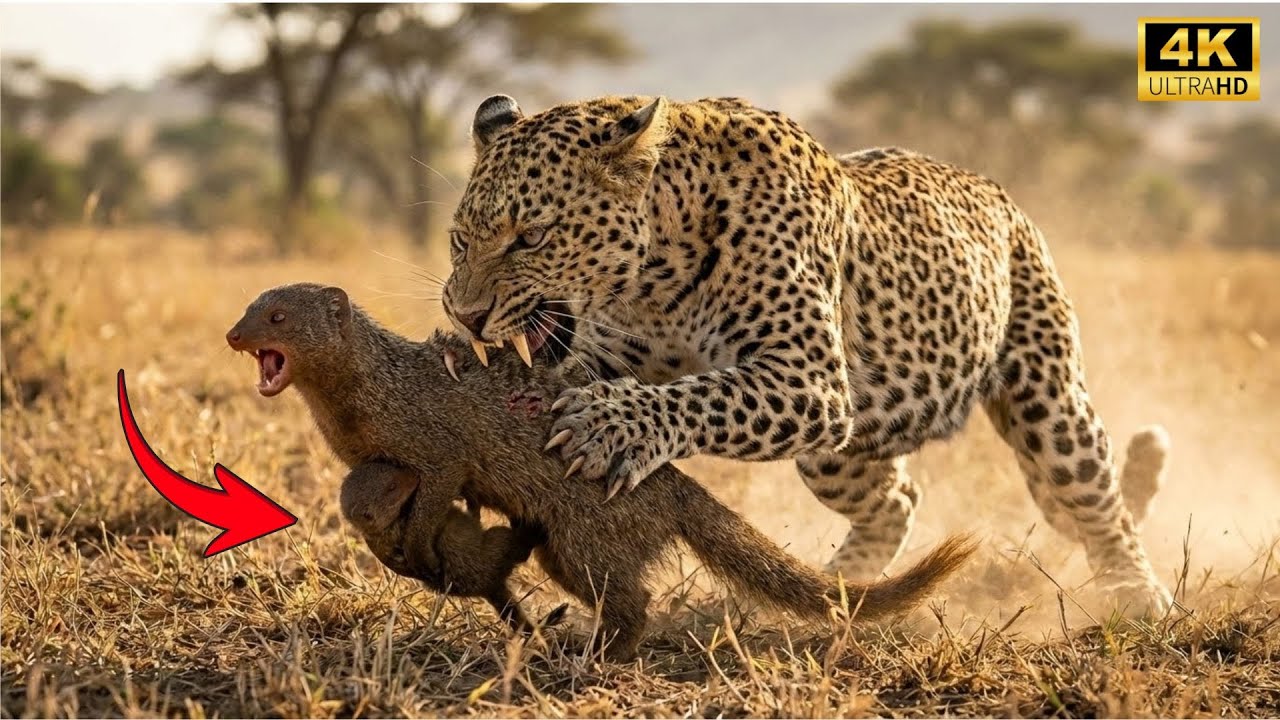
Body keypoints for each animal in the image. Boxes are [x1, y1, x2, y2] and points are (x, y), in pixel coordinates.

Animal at [440, 94, 1173, 616]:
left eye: (531, 237)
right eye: (459, 239)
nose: (465, 313)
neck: (655, 280)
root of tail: (994, 189)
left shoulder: (808, 378)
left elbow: (701, 394)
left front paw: (611, 427)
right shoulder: (613, 355)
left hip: (1047, 397)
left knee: (1098, 498)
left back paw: (1136, 593)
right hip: (838, 451)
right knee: (898, 498)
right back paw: (837, 591)